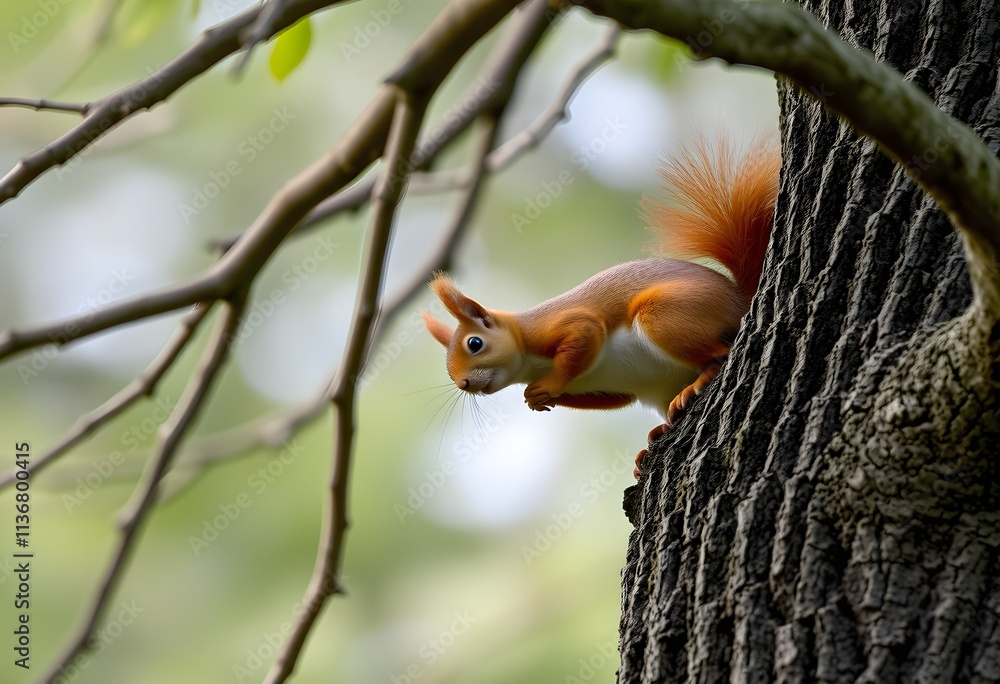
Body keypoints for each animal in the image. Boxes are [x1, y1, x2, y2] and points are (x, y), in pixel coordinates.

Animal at [422, 136, 780, 479]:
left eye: (475, 343)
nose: (463, 384)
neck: (529, 358)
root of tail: (738, 298)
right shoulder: (604, 386)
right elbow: (616, 399)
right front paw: (538, 397)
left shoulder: (562, 325)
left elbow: (584, 336)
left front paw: (548, 387)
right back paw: (655, 436)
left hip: (666, 316)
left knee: (720, 353)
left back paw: (695, 384)